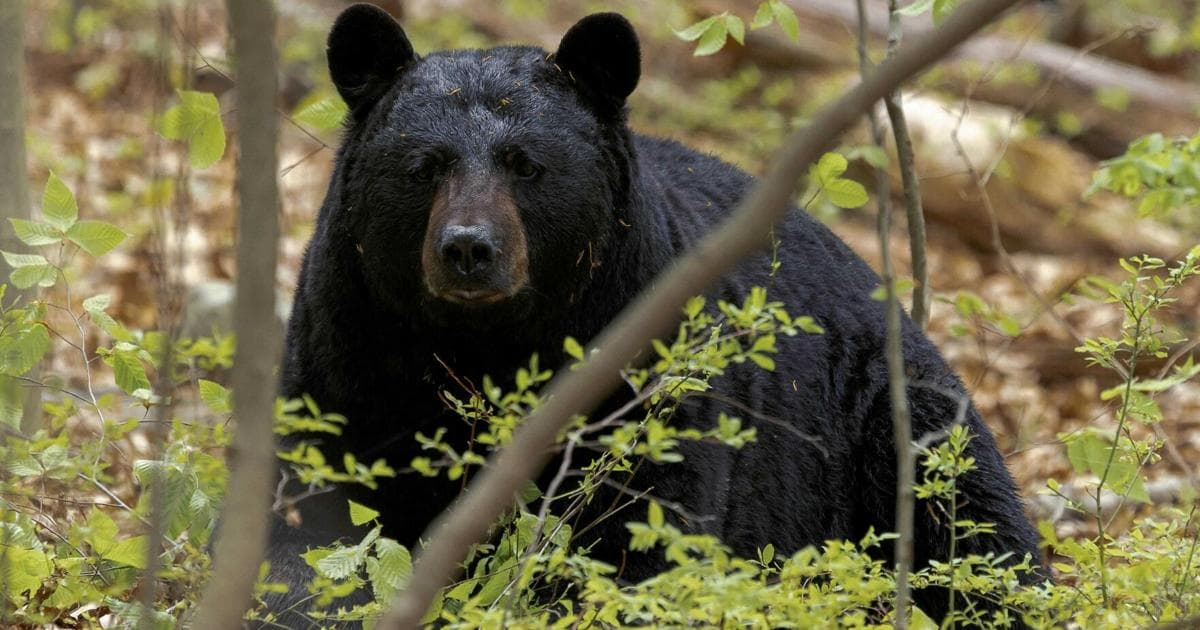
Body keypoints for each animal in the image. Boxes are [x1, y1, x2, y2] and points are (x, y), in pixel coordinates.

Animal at [263, 3, 1042, 626]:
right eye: (424, 166)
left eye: (526, 163)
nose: (468, 249)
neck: (487, 345)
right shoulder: (350, 348)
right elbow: (311, 512)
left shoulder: (644, 367)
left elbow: (646, 530)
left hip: (885, 418)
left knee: (973, 526)